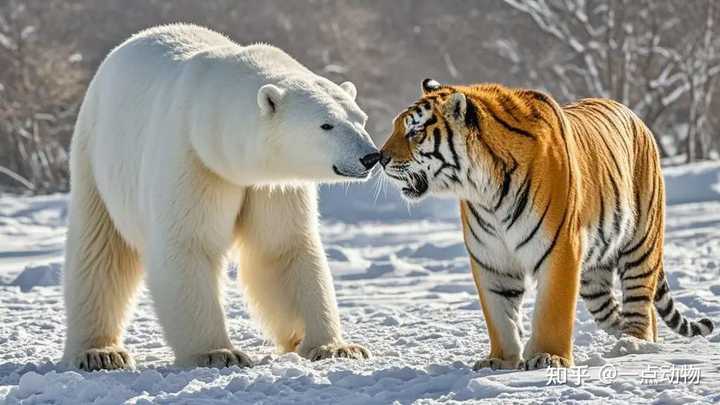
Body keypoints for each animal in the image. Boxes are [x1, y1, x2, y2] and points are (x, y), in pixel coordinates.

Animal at [61, 24, 378, 370]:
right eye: (326, 125)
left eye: (360, 119)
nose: (370, 157)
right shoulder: (194, 159)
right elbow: (189, 243)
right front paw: (218, 353)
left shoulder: (273, 185)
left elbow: (282, 246)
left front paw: (336, 347)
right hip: (95, 156)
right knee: (99, 249)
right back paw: (100, 352)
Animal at [377, 78, 715, 370]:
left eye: (415, 132)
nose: (379, 158)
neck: (484, 190)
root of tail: (634, 116)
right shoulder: (492, 259)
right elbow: (499, 316)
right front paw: (500, 360)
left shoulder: (561, 249)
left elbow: (552, 310)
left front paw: (547, 357)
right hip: (594, 277)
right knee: (618, 313)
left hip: (641, 243)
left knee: (639, 300)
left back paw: (633, 344)